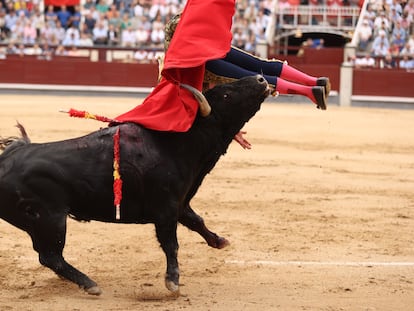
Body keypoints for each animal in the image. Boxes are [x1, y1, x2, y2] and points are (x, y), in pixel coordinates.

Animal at [0, 75, 270, 294]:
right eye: (226, 95)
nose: (261, 79)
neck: (178, 143)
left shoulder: (179, 203)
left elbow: (197, 221)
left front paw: (219, 241)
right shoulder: (165, 208)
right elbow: (171, 244)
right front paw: (173, 281)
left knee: (49, 257)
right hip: (49, 219)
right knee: (50, 256)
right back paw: (90, 284)